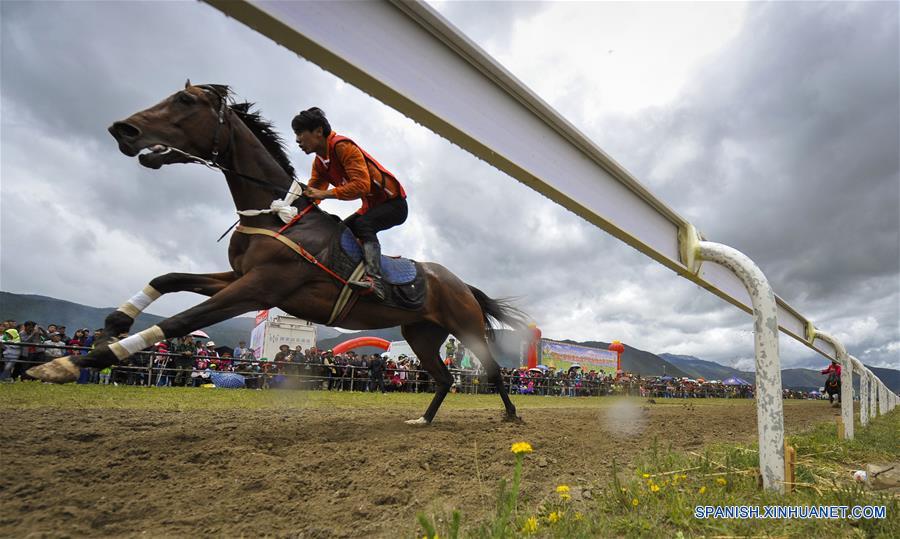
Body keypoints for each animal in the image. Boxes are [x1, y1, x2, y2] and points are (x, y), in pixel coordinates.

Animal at [29, 82, 528, 426]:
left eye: (185, 101)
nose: (124, 129)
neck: (274, 214)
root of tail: (461, 283)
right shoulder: (239, 277)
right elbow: (168, 279)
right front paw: (115, 322)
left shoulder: (259, 287)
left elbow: (180, 321)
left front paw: (69, 362)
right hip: (421, 333)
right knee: (444, 378)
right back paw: (423, 418)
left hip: (465, 327)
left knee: (493, 372)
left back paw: (511, 415)